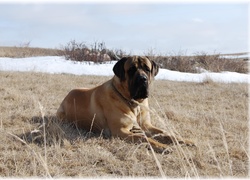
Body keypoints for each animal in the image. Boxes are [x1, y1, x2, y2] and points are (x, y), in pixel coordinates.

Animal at [57, 56, 195, 152]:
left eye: (147, 69)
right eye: (131, 70)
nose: (143, 79)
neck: (134, 103)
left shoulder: (146, 125)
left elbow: (165, 132)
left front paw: (183, 140)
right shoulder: (120, 131)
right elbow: (144, 138)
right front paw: (162, 146)